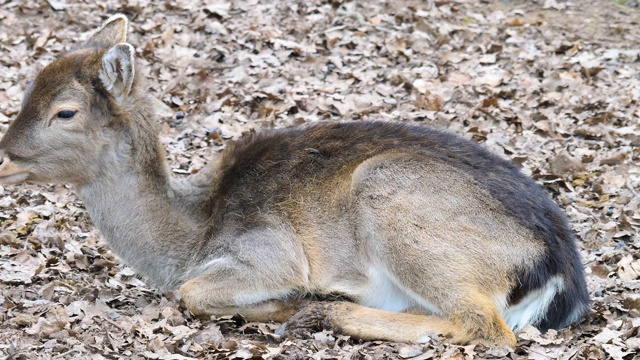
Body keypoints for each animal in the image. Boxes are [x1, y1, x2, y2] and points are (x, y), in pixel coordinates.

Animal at [0, 14, 592, 346]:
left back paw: (329, 308)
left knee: (487, 328)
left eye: (65, 112)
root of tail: (561, 275)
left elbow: (192, 293)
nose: (3, 157)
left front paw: (291, 300)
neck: (189, 238)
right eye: (28, 87)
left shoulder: (267, 249)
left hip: (390, 191)